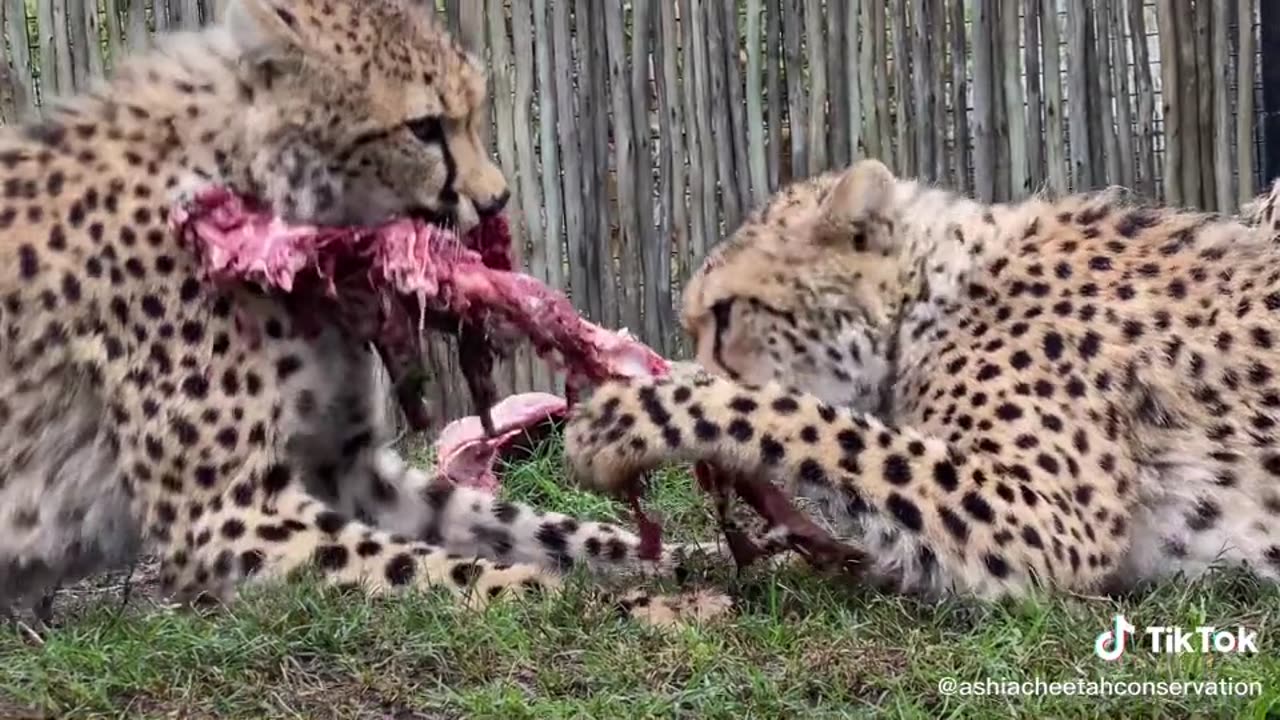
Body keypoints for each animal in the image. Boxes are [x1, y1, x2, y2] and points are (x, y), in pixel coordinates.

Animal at [0, 0, 701, 617]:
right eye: (424, 128)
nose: (497, 200)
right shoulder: (222, 518)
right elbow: (447, 569)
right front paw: (611, 602)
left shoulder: (348, 467)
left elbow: (516, 525)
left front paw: (676, 556)